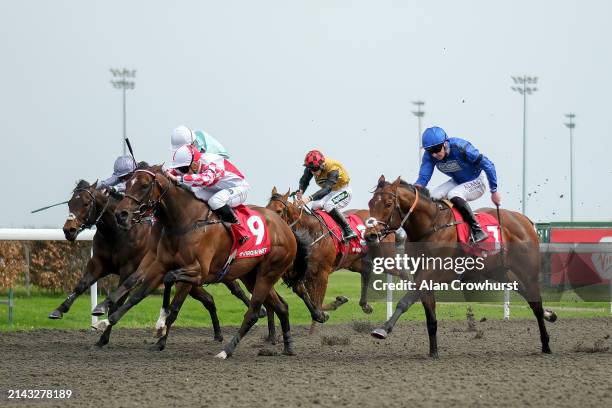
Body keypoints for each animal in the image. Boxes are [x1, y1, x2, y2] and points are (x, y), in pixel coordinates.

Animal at [56, 178, 256, 344]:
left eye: (86, 203)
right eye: (70, 203)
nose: (68, 230)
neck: (117, 233)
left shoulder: (130, 268)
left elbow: (120, 298)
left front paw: (103, 333)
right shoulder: (98, 263)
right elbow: (81, 285)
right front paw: (59, 310)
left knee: (236, 290)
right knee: (209, 299)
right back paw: (219, 334)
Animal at [107, 166, 308, 356]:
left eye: (144, 185)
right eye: (127, 184)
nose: (121, 214)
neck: (186, 222)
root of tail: (287, 229)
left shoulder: (199, 272)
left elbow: (172, 294)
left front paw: (161, 326)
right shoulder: (161, 265)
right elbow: (138, 293)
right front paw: (110, 318)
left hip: (269, 273)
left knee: (253, 312)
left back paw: (226, 351)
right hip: (252, 276)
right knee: (281, 306)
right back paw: (288, 347)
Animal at [268, 186, 378, 334]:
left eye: (279, 211)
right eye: (266, 208)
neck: (310, 233)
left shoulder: (322, 273)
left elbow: (317, 301)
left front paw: (321, 316)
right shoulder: (301, 274)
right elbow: (309, 297)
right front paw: (326, 311)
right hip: (352, 261)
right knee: (366, 270)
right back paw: (364, 305)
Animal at [366, 175, 556, 356]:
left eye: (388, 204)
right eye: (370, 203)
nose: (370, 235)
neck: (431, 226)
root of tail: (524, 219)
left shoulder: (433, 272)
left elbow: (405, 301)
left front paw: (383, 329)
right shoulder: (422, 275)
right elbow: (430, 316)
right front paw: (434, 352)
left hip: (528, 271)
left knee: (536, 302)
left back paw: (546, 344)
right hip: (500, 272)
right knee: (530, 299)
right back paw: (549, 316)